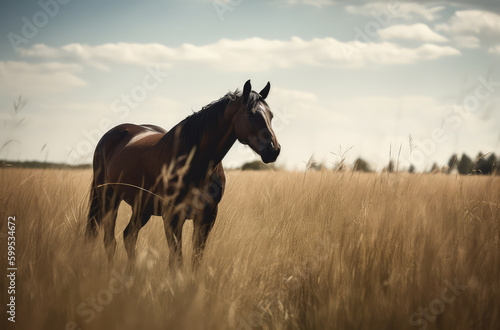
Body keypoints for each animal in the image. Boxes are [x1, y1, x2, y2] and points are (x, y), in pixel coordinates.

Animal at [86, 80, 282, 268]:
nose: (273, 150)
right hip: (108, 198)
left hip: (142, 208)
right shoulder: (172, 218)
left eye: (271, 115)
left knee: (128, 237)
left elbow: (196, 260)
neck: (196, 164)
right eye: (250, 114)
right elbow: (177, 261)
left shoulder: (207, 218)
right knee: (110, 240)